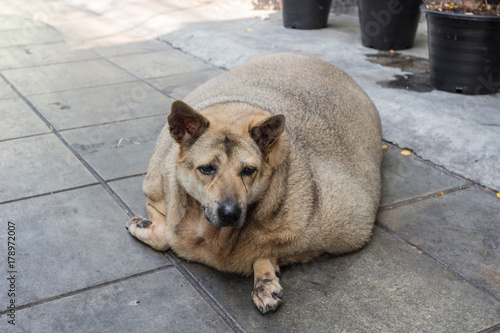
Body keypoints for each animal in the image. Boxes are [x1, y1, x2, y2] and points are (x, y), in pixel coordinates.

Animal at [127, 53, 380, 312]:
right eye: (207, 168)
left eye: (249, 170)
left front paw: (264, 274)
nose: (230, 213)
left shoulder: (348, 229)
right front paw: (144, 225)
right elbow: (164, 236)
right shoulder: (156, 191)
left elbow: (269, 250)